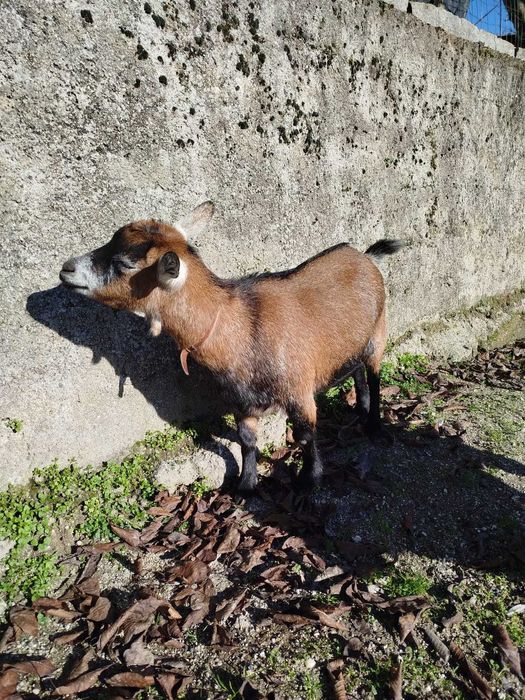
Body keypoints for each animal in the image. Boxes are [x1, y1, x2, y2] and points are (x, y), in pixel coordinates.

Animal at [60, 202, 402, 493]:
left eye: (125, 263)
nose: (66, 268)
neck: (240, 327)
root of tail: (366, 257)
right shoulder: (240, 401)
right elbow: (247, 440)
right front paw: (246, 485)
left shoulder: (299, 392)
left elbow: (305, 437)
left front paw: (311, 481)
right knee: (357, 371)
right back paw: (361, 409)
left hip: (379, 331)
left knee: (374, 373)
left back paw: (373, 425)